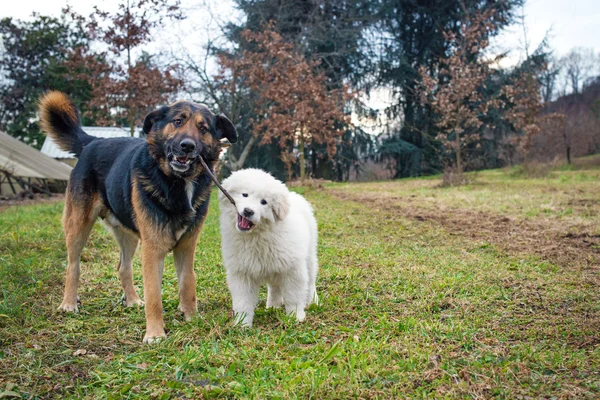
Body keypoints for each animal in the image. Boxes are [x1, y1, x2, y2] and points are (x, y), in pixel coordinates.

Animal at [38, 91, 237, 344]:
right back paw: (68, 303)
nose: (187, 146)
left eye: (203, 129)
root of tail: (92, 142)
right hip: (78, 225)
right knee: (73, 265)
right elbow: (154, 294)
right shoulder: (152, 248)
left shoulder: (186, 246)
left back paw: (132, 300)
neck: (176, 182)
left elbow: (188, 282)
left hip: (129, 235)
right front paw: (155, 333)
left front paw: (192, 317)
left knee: (123, 267)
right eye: (178, 121)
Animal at [219, 169, 318, 328]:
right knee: (275, 287)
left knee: (311, 280)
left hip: (309, 254)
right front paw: (242, 324)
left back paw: (312, 302)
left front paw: (295, 317)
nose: (248, 211)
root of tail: (294, 195)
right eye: (245, 194)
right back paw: (272, 306)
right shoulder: (241, 272)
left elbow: (294, 296)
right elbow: (243, 301)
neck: (256, 236)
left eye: (264, 202)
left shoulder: (293, 269)